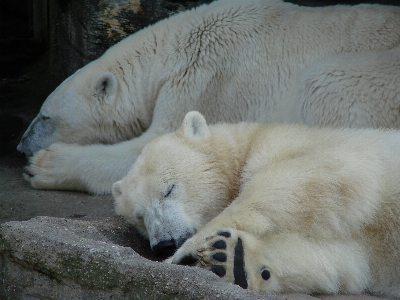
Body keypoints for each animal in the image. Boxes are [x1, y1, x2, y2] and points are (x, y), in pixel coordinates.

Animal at [17, 0, 400, 195]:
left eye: (46, 117)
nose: (21, 147)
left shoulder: (206, 78)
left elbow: (162, 146)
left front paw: (45, 166)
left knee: (323, 81)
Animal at [111, 111, 400, 296]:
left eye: (169, 189)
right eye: (139, 216)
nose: (164, 244)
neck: (245, 145)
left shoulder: (307, 145)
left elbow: (321, 170)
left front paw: (180, 255)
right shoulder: (372, 250)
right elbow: (347, 260)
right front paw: (231, 259)